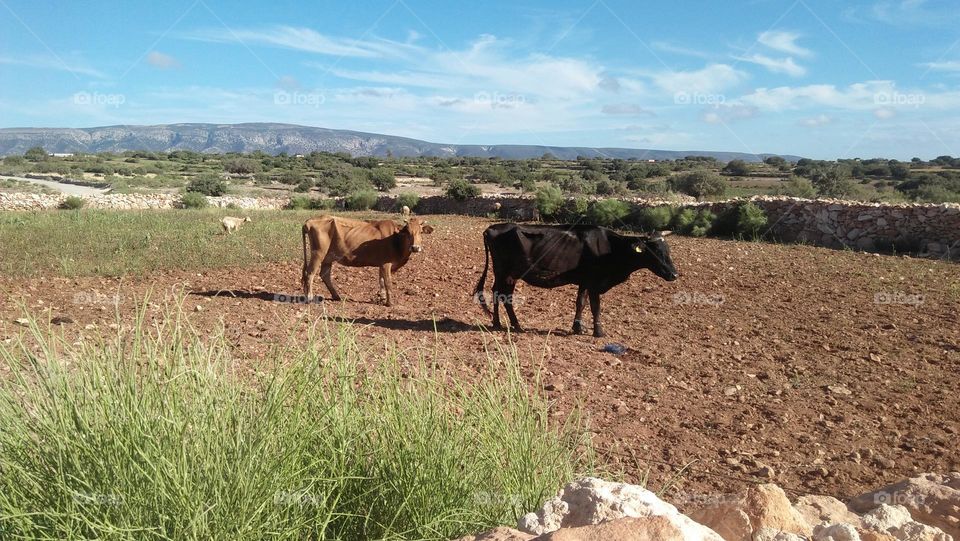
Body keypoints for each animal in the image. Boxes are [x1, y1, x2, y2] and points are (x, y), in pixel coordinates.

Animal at [300, 217, 436, 306]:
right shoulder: (386, 264)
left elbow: (381, 281)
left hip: (328, 257)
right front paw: (390, 302)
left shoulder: (382, 264)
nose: (415, 247)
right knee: (310, 273)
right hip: (318, 254)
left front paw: (382, 298)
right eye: (408, 232)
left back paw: (336, 296)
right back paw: (309, 297)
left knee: (325, 275)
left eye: (421, 232)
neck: (395, 238)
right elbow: (388, 283)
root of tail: (310, 221)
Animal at [470, 223, 676, 334]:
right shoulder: (594, 282)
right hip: (504, 272)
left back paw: (510, 324)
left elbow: (580, 303)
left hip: (510, 275)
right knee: (499, 294)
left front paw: (578, 328)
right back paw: (502, 324)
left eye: (668, 250)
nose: (674, 274)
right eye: (654, 250)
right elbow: (595, 306)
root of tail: (492, 228)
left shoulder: (584, 281)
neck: (611, 247)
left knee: (503, 295)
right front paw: (598, 332)